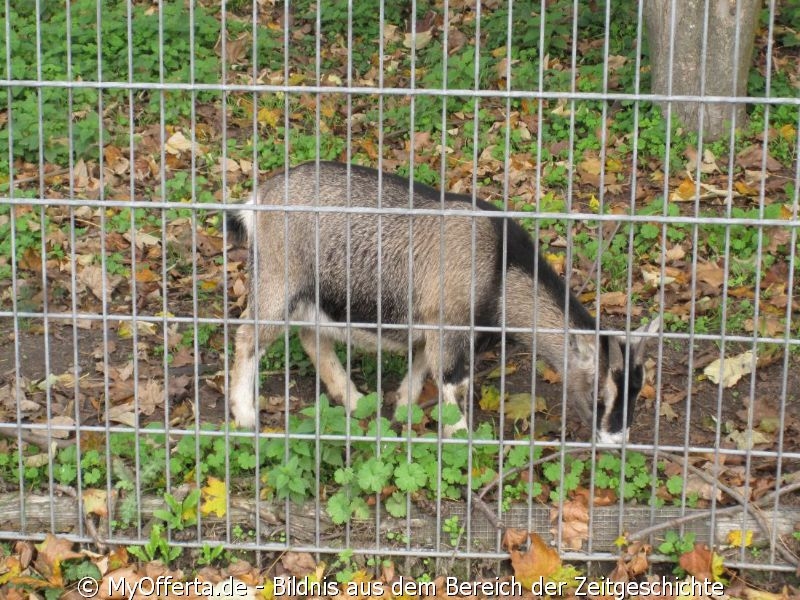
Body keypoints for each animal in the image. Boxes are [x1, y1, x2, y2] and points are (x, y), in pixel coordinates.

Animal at [228, 162, 660, 442]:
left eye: (638, 391)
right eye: (599, 396)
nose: (616, 440)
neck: (501, 267)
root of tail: (259, 200)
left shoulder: (435, 322)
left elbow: (422, 365)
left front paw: (403, 407)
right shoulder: (449, 322)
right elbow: (451, 378)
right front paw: (460, 438)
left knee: (312, 338)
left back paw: (353, 400)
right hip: (278, 278)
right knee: (249, 337)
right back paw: (246, 416)